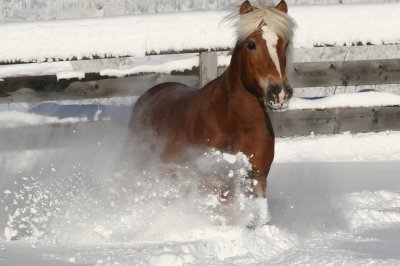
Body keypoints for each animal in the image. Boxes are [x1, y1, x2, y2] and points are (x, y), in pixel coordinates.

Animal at [130, 0, 294, 202]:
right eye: (251, 44)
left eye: (285, 44)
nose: (280, 93)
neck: (236, 124)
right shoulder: (212, 183)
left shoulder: (257, 179)